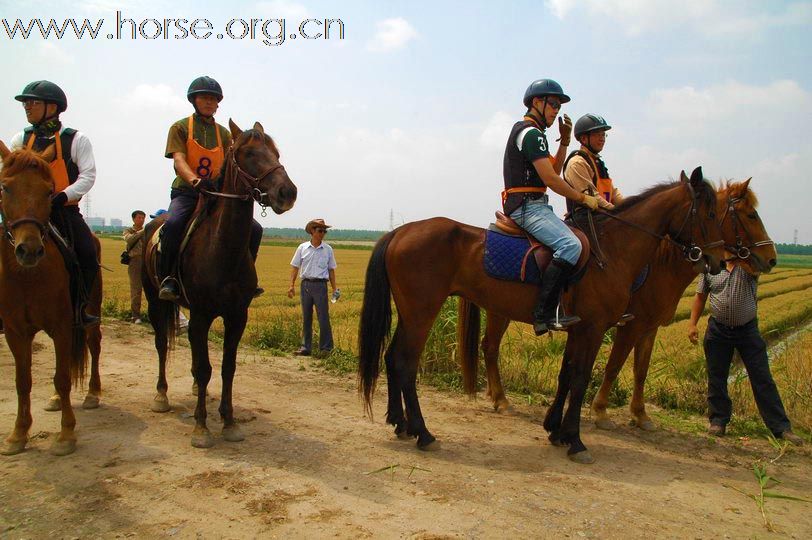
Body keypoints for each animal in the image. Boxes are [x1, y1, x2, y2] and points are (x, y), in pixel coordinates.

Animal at [0, 144, 103, 456]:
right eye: (5, 187)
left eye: (48, 191)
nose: (29, 249)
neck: (27, 276)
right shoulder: (15, 331)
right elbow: (23, 381)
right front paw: (17, 435)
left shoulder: (61, 325)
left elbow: (64, 377)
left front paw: (66, 434)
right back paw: (56, 399)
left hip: (89, 312)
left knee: (93, 345)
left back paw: (93, 393)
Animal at [144, 120, 298, 450]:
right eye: (249, 153)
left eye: (276, 152)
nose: (287, 192)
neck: (222, 248)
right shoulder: (202, 315)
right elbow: (205, 369)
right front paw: (201, 427)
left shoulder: (237, 316)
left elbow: (227, 368)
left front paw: (229, 422)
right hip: (154, 300)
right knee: (162, 344)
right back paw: (161, 395)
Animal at [358, 167, 728, 462]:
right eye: (711, 214)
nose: (719, 262)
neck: (612, 250)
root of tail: (399, 231)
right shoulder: (594, 329)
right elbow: (580, 380)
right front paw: (575, 441)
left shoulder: (579, 329)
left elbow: (567, 375)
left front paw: (557, 431)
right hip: (423, 312)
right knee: (406, 362)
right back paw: (423, 433)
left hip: (411, 313)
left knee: (392, 358)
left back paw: (400, 423)